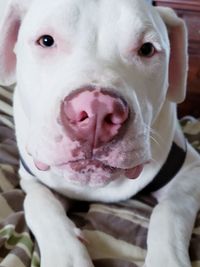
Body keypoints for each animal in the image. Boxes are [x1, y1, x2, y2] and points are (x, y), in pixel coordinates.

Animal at [0, 0, 200, 266]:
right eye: (46, 40)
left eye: (147, 49)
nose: (97, 111)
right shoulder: (32, 179)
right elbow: (38, 203)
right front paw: (67, 255)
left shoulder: (191, 170)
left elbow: (170, 211)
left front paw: (167, 260)